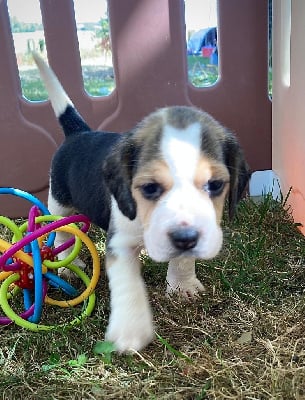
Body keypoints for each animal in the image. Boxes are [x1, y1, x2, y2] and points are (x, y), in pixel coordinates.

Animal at [33, 53, 248, 354]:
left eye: (215, 185)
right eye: (149, 188)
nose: (185, 237)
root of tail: (80, 132)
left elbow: (183, 260)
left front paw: (182, 285)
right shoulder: (119, 242)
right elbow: (127, 283)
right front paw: (130, 330)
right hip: (59, 203)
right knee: (63, 231)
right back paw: (66, 265)